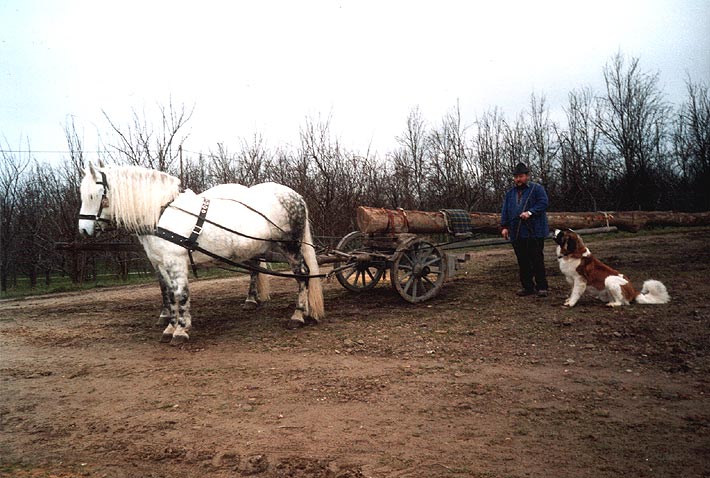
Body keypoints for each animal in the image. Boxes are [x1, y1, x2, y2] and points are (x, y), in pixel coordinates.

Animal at [78, 163, 326, 344]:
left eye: (94, 195)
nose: (83, 230)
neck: (162, 212)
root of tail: (295, 195)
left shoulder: (175, 261)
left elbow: (180, 294)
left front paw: (180, 331)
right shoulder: (161, 263)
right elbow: (169, 294)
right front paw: (170, 326)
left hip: (289, 246)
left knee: (302, 275)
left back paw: (297, 315)